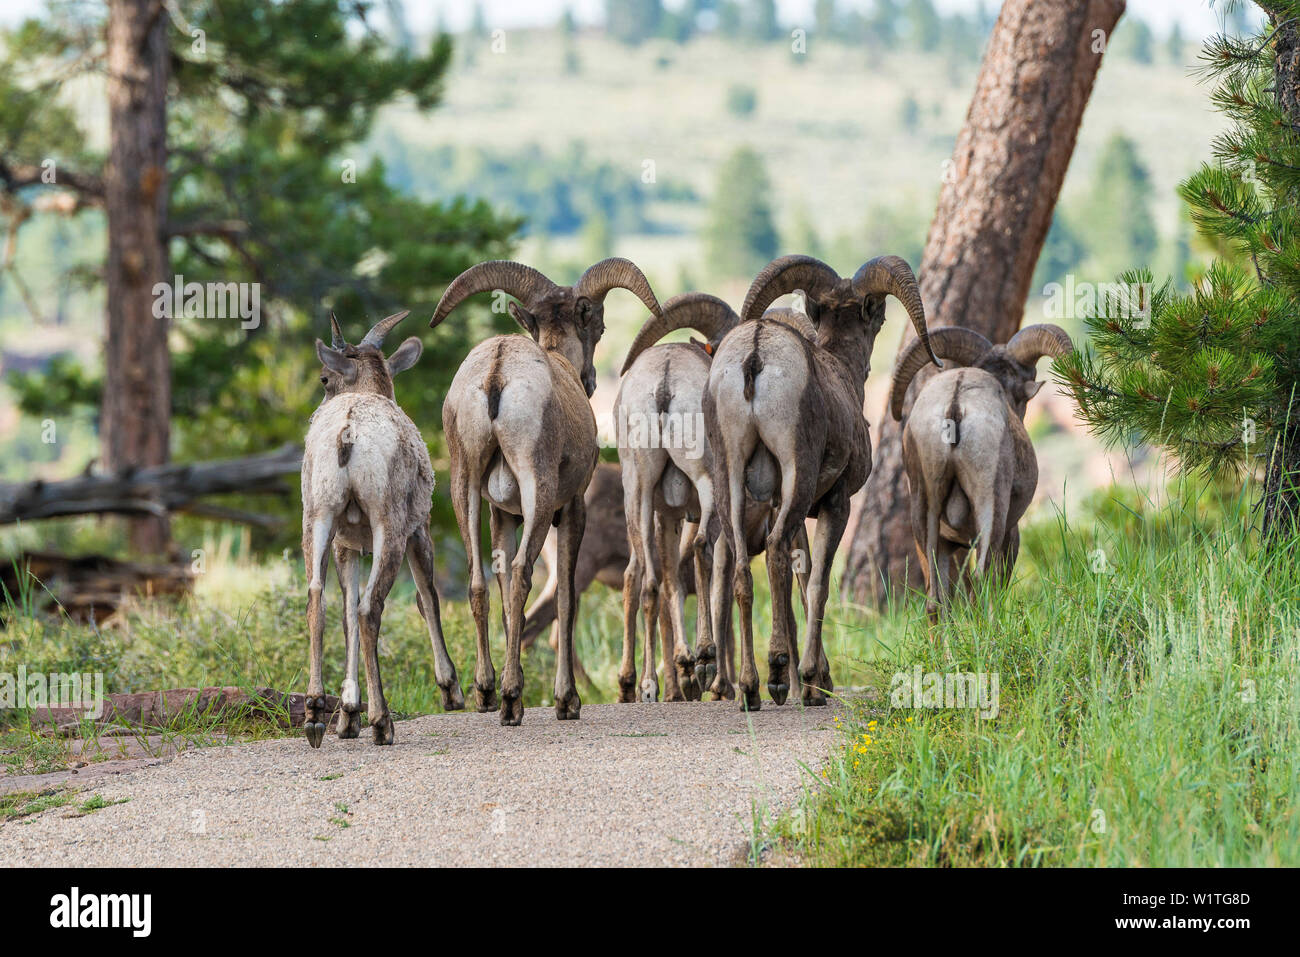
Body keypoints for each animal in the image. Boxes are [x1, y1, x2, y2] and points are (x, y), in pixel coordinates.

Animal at [301, 310, 464, 748]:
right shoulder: (419, 530)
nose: (319, 404)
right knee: (370, 608)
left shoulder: (347, 545)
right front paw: (452, 692)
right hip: (388, 524)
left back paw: (314, 714)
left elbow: (345, 614)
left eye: (324, 379)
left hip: (318, 516)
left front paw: (347, 716)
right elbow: (428, 600)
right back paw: (382, 722)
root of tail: (347, 433)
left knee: (319, 599)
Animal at [430, 258, 661, 725]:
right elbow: (566, 601)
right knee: (523, 575)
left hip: (465, 485)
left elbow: (501, 592)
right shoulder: (571, 508)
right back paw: (512, 701)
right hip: (538, 491)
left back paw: (486, 692)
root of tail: (496, 374)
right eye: (600, 327)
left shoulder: (503, 514)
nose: (590, 380)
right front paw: (567, 701)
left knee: (479, 582)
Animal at [617, 295, 816, 703]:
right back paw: (704, 660)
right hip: (709, 482)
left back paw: (649, 684)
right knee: (700, 550)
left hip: (638, 492)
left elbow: (672, 585)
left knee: (644, 579)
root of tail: (664, 382)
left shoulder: (668, 515)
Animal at [706, 254, 940, 710]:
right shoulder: (835, 502)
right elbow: (817, 585)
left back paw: (750, 689)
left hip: (732, 482)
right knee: (775, 553)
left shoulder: (788, 510)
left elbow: (800, 581)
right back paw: (777, 673)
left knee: (743, 570)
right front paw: (814, 682)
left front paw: (817, 681)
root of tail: (754, 356)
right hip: (796, 475)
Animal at [889, 324, 1073, 620]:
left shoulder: (948, 544)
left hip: (924, 510)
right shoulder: (1008, 534)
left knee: (935, 600)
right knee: (981, 583)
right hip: (989, 505)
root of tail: (956, 402)